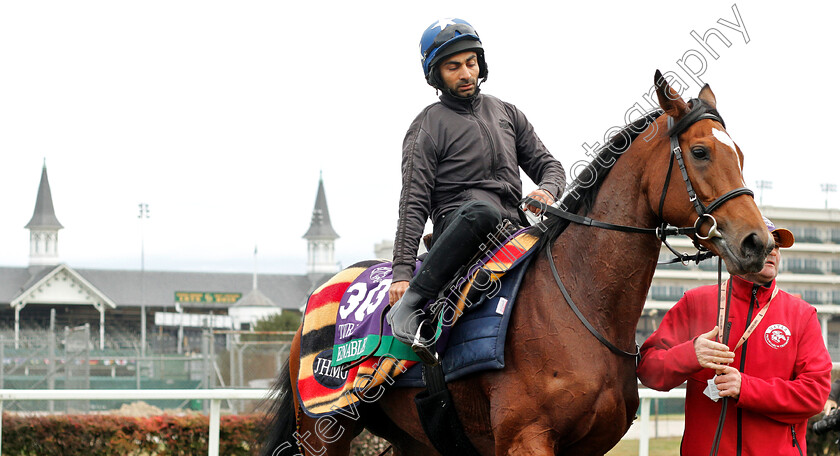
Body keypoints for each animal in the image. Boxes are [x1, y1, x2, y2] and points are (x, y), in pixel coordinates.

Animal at [262, 72, 776, 456]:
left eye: (740, 154)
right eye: (700, 152)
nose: (758, 242)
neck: (578, 307)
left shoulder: (591, 446)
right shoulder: (526, 440)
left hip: (416, 439)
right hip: (322, 431)